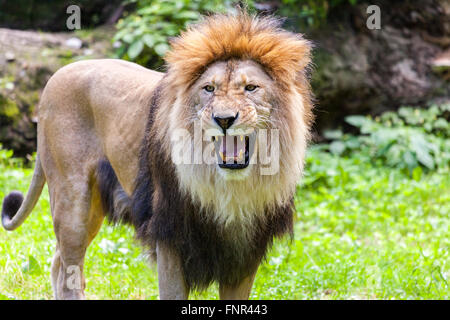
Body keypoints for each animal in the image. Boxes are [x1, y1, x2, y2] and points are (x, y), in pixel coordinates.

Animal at [1, 10, 314, 300]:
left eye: (251, 88)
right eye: (208, 88)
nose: (224, 119)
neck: (229, 187)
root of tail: (56, 76)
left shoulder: (245, 251)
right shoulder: (170, 235)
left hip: (93, 207)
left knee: (59, 263)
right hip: (71, 199)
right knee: (69, 268)